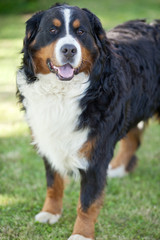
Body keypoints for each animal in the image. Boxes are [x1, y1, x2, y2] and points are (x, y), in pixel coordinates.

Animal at [16, 2, 160, 239]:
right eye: (52, 30)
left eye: (81, 32)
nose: (69, 49)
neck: (62, 93)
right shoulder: (47, 139)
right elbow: (53, 183)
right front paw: (50, 213)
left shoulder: (96, 151)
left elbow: (88, 202)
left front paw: (81, 234)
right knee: (132, 140)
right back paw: (118, 169)